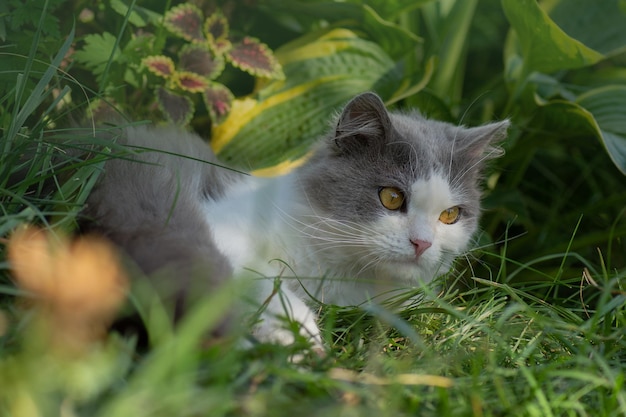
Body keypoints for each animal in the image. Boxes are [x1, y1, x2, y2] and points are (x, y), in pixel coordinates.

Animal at [83, 92, 508, 346]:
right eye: (391, 197)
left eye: (450, 215)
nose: (422, 243)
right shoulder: (225, 232)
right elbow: (263, 283)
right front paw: (302, 342)